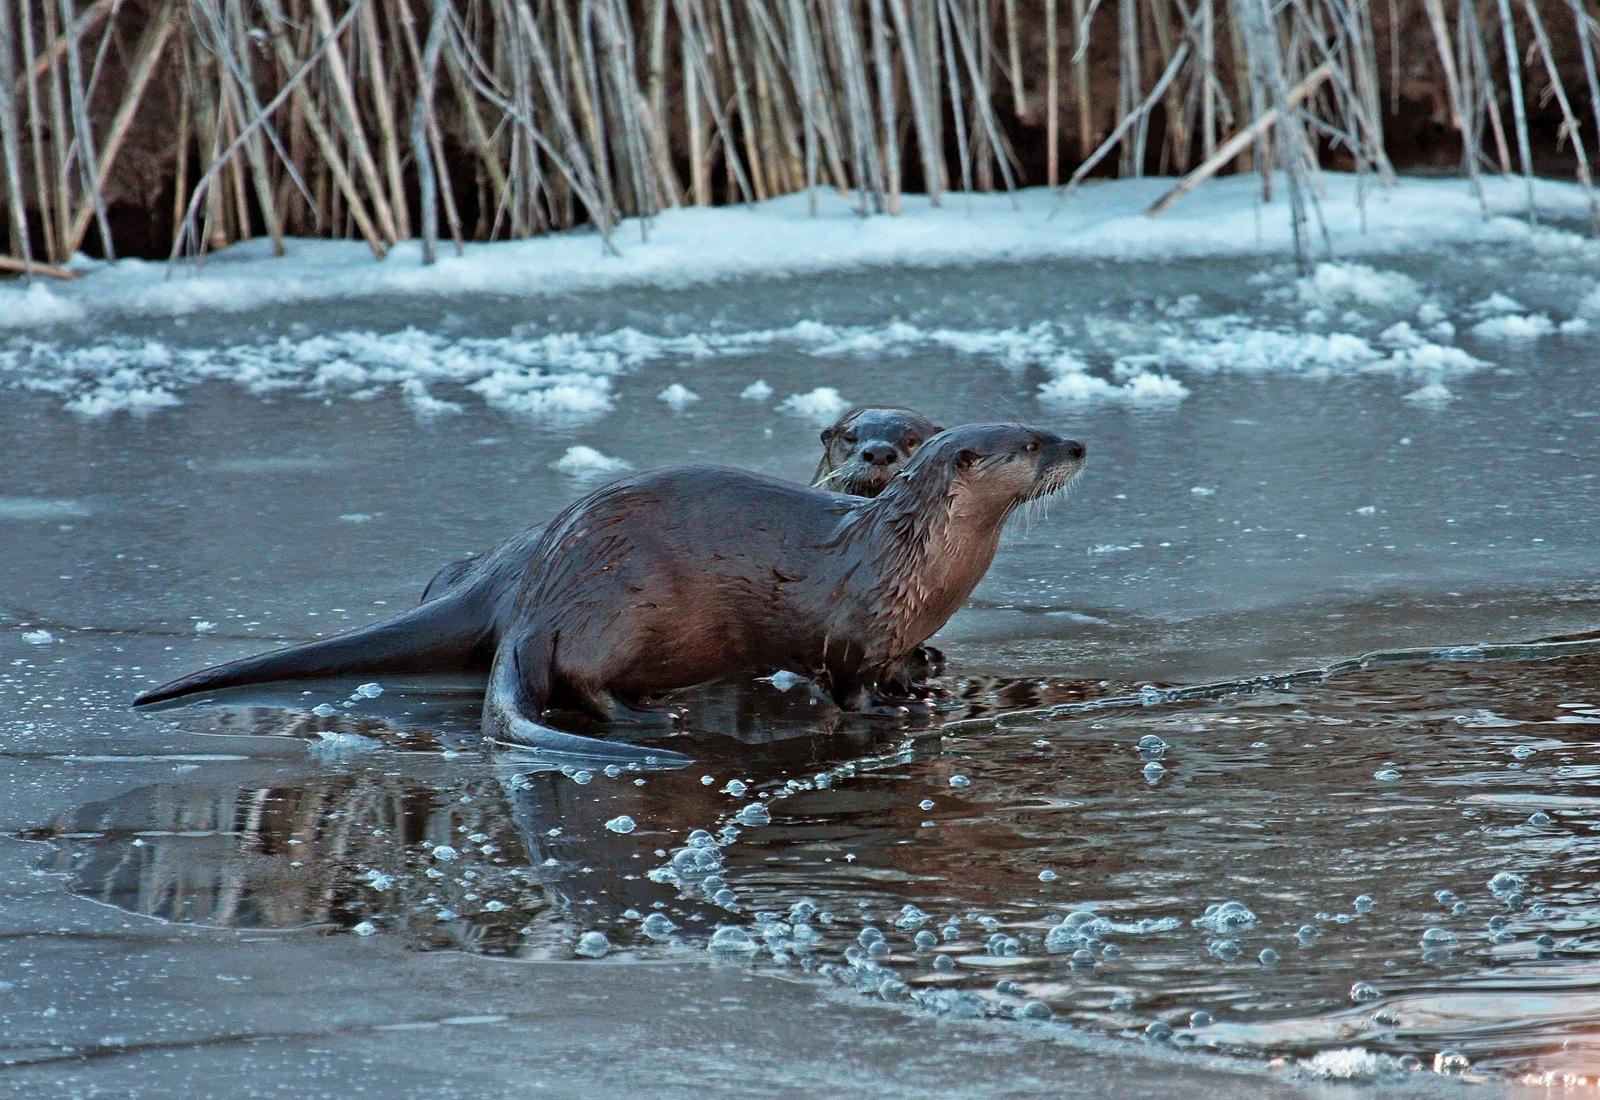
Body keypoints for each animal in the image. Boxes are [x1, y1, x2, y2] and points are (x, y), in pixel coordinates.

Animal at [135, 425, 1086, 764]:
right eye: (1031, 444)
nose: (1079, 444)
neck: (910, 557)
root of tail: (532, 607)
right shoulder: (851, 624)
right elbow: (848, 680)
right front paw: (890, 709)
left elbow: (902, 663)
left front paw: (923, 684)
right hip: (619, 607)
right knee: (582, 683)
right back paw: (646, 715)